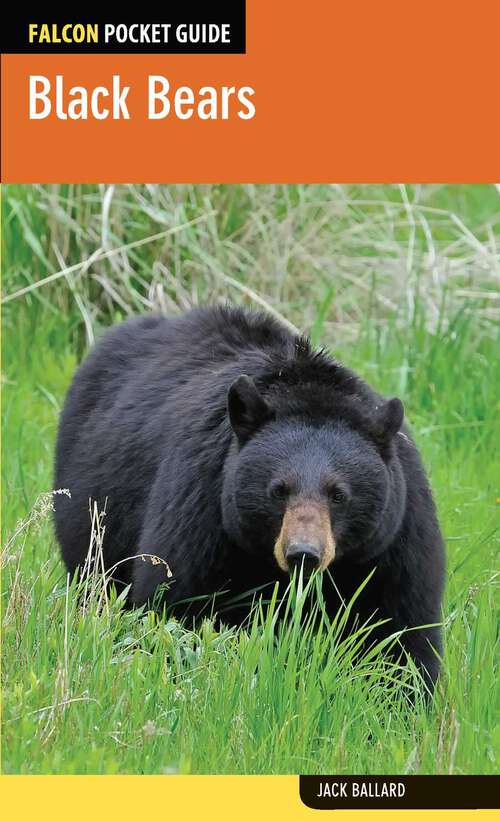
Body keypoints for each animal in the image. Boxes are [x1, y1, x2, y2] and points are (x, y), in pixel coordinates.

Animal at [54, 305, 445, 691]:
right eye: (278, 489)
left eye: (339, 494)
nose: (304, 554)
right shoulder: (204, 503)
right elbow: (179, 602)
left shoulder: (395, 537)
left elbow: (400, 632)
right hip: (94, 509)